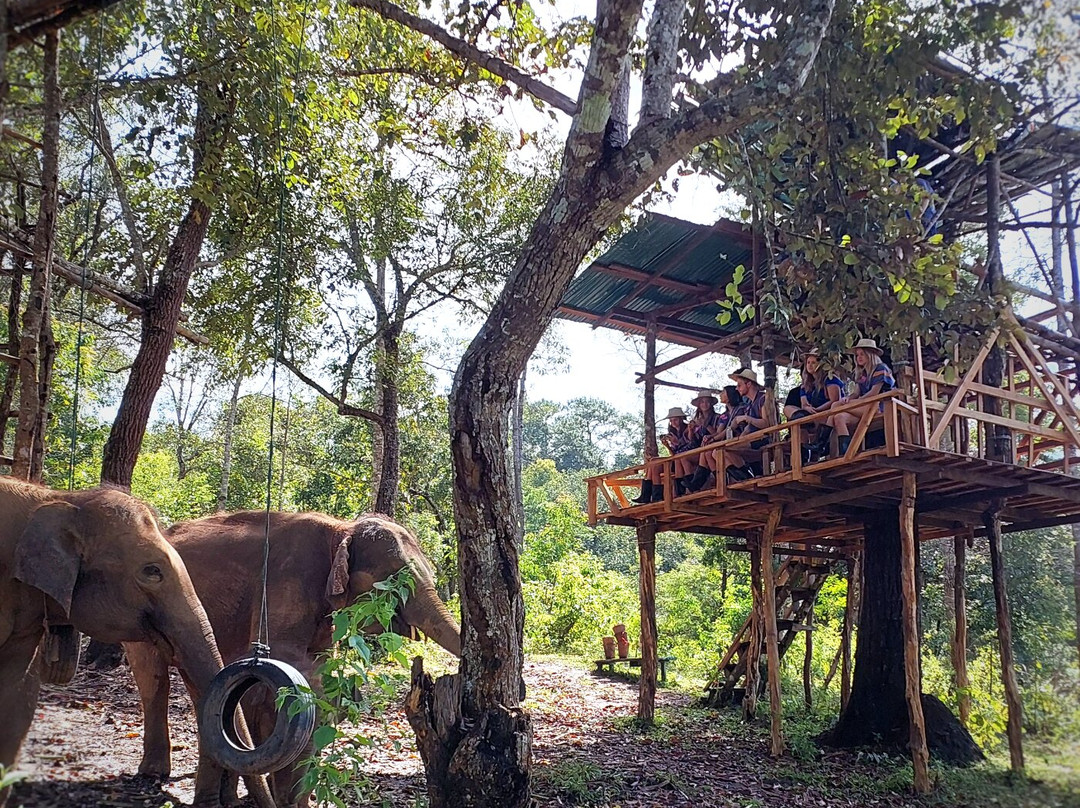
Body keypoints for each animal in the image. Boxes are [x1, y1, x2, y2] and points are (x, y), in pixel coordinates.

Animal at [126, 509, 462, 807]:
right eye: (395, 581)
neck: (340, 528)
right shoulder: (287, 580)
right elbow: (283, 659)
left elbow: (317, 665)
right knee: (153, 679)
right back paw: (155, 773)